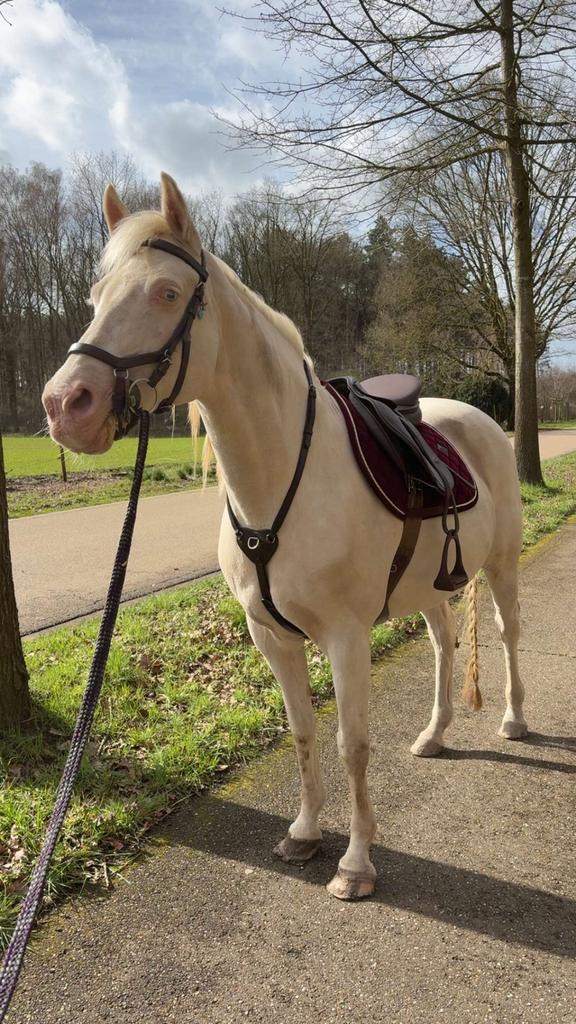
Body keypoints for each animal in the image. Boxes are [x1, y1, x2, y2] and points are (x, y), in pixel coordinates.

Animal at [42, 173, 527, 901]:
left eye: (167, 293)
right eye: (96, 297)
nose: (65, 404)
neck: (278, 480)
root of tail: (473, 416)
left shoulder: (347, 638)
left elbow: (352, 744)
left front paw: (356, 864)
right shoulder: (271, 636)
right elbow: (302, 732)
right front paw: (304, 833)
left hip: (501, 566)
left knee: (506, 633)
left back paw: (515, 720)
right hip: (428, 587)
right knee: (444, 642)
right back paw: (435, 733)